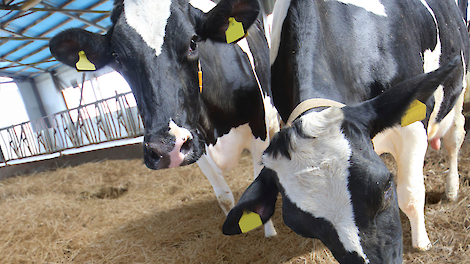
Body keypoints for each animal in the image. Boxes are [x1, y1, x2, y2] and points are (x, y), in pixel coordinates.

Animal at [49, 0, 280, 235]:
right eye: (117, 57)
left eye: (193, 42)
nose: (165, 147)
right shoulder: (196, 144)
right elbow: (223, 197)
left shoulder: (258, 130)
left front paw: (270, 235)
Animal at [222, 0, 468, 262]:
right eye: (302, 226)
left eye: (385, 186)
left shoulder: (412, 124)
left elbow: (410, 194)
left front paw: (422, 243)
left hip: (459, 84)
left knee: (454, 137)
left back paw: (452, 188)